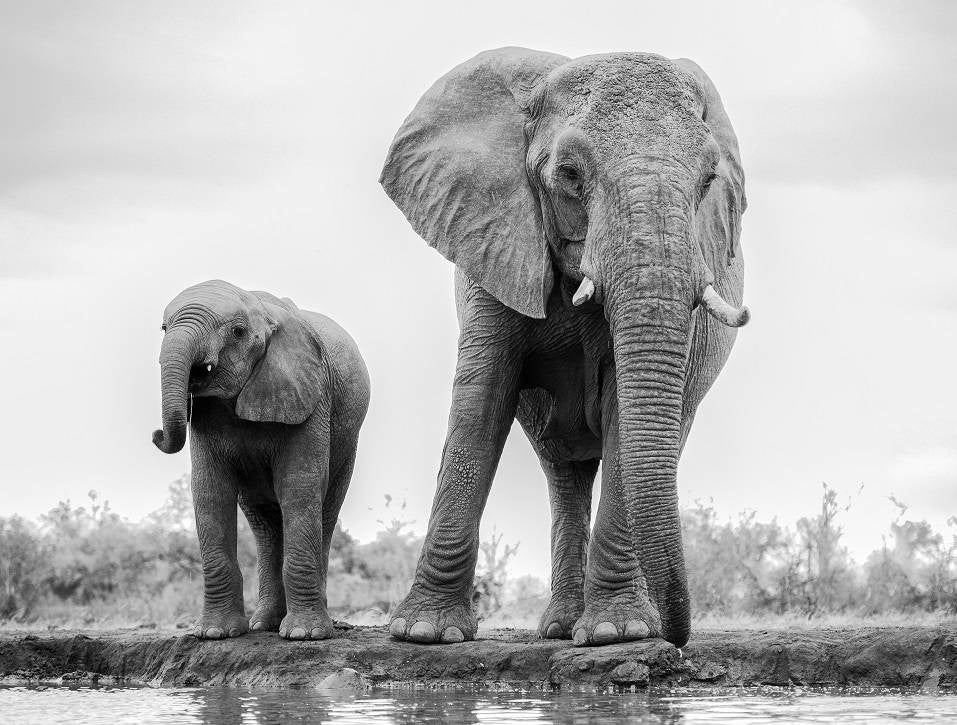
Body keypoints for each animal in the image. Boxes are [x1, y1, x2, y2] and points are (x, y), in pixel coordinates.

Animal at [152, 279, 370, 640]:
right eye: (164, 328)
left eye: (238, 332)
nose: (156, 436)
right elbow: (210, 492)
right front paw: (215, 634)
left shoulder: (312, 395)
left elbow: (299, 485)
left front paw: (304, 635)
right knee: (265, 524)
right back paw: (264, 624)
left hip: (347, 442)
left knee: (324, 511)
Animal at [380, 48, 749, 647]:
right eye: (569, 175)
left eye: (709, 179)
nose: (678, 637)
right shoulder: (492, 238)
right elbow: (480, 400)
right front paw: (423, 633)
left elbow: (624, 405)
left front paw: (618, 633)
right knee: (563, 472)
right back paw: (558, 628)